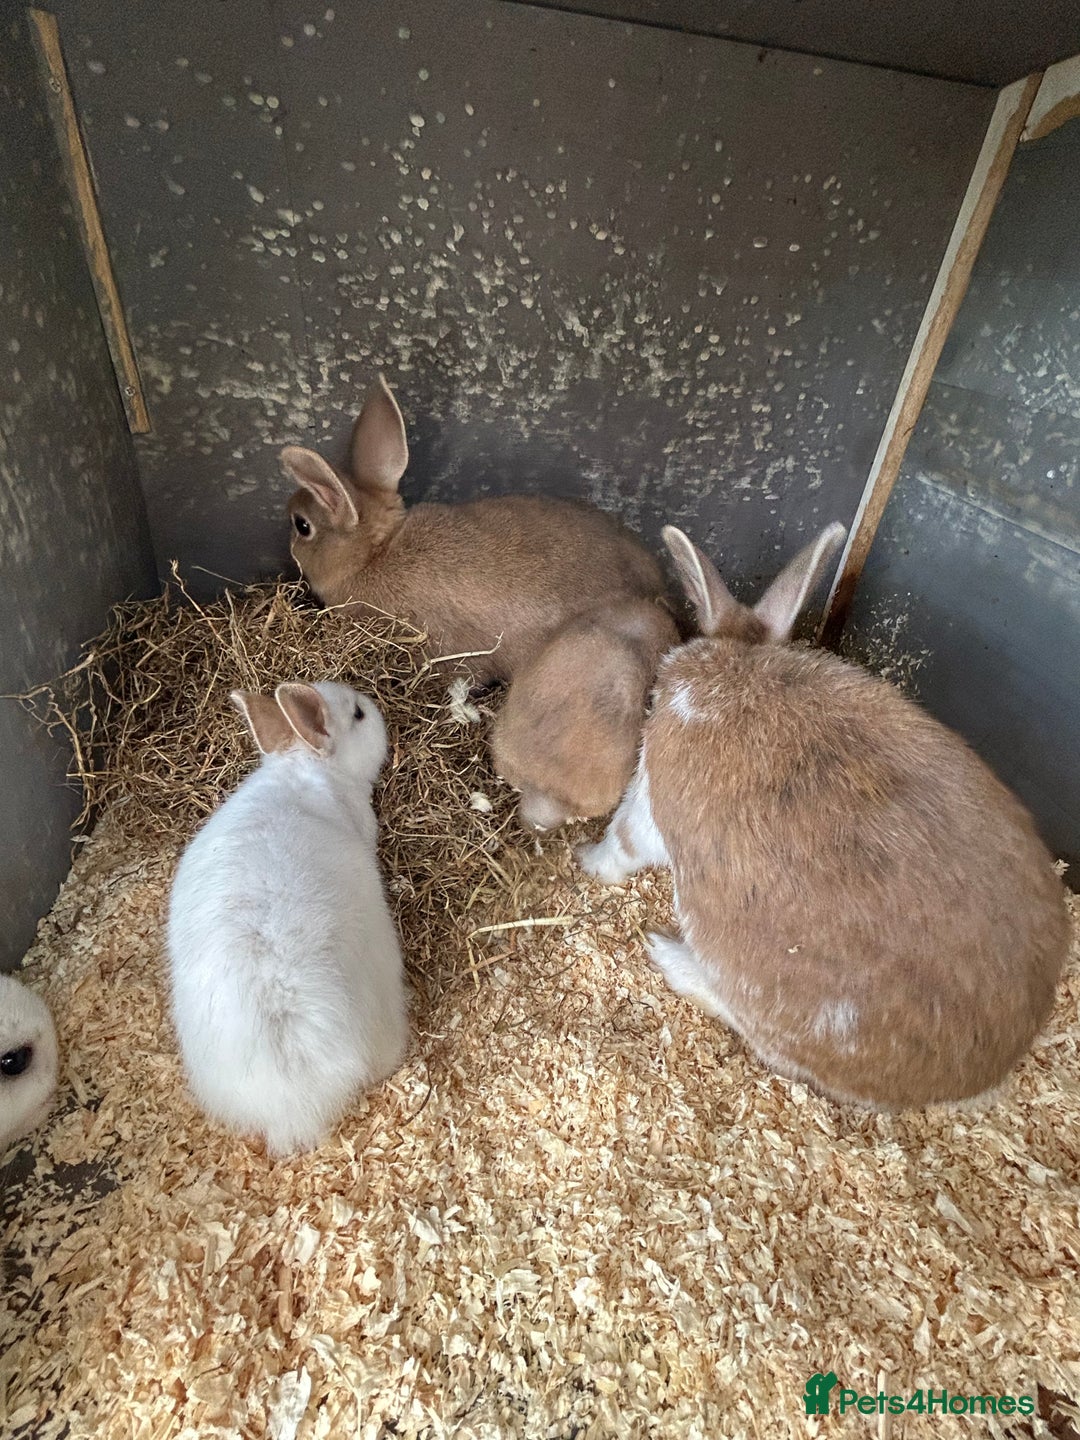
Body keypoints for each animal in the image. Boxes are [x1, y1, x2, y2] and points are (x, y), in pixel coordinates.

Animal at [577, 522, 1069, 1110]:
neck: (736, 660)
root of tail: (978, 1075)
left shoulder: (649, 795)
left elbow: (623, 842)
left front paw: (584, 861)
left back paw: (666, 954)